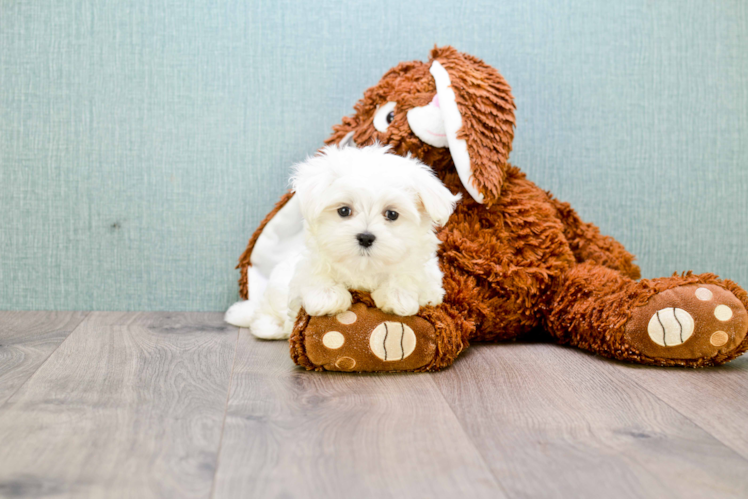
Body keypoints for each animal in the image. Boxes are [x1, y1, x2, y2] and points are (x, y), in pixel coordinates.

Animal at [225, 145, 458, 340]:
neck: (364, 269)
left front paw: (398, 295)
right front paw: (327, 296)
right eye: (344, 210)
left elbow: (409, 277)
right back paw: (269, 326)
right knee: (263, 314)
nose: (365, 237)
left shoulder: (430, 282)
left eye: (392, 214)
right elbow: (314, 275)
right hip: (275, 290)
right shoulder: (307, 266)